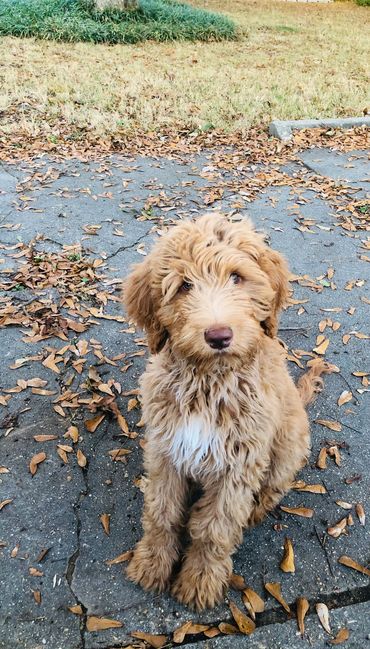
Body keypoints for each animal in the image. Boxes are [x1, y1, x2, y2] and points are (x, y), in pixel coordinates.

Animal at [123, 215, 326, 612]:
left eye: (237, 277)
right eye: (184, 286)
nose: (219, 336)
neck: (209, 381)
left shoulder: (239, 463)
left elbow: (214, 528)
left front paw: (199, 580)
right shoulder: (166, 449)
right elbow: (161, 513)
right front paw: (151, 564)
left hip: (288, 443)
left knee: (275, 485)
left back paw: (258, 508)